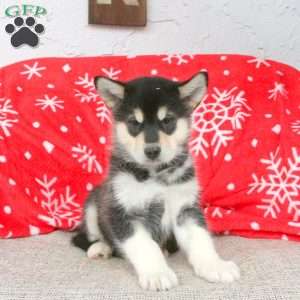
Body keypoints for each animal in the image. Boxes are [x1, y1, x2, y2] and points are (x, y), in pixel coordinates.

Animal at [71, 72, 240, 290]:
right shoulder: (123, 212)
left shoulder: (185, 209)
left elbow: (201, 239)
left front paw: (215, 265)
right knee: (83, 237)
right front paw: (157, 273)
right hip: (93, 205)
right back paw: (100, 247)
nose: (152, 151)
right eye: (134, 123)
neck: (156, 176)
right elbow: (146, 246)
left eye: (167, 120)